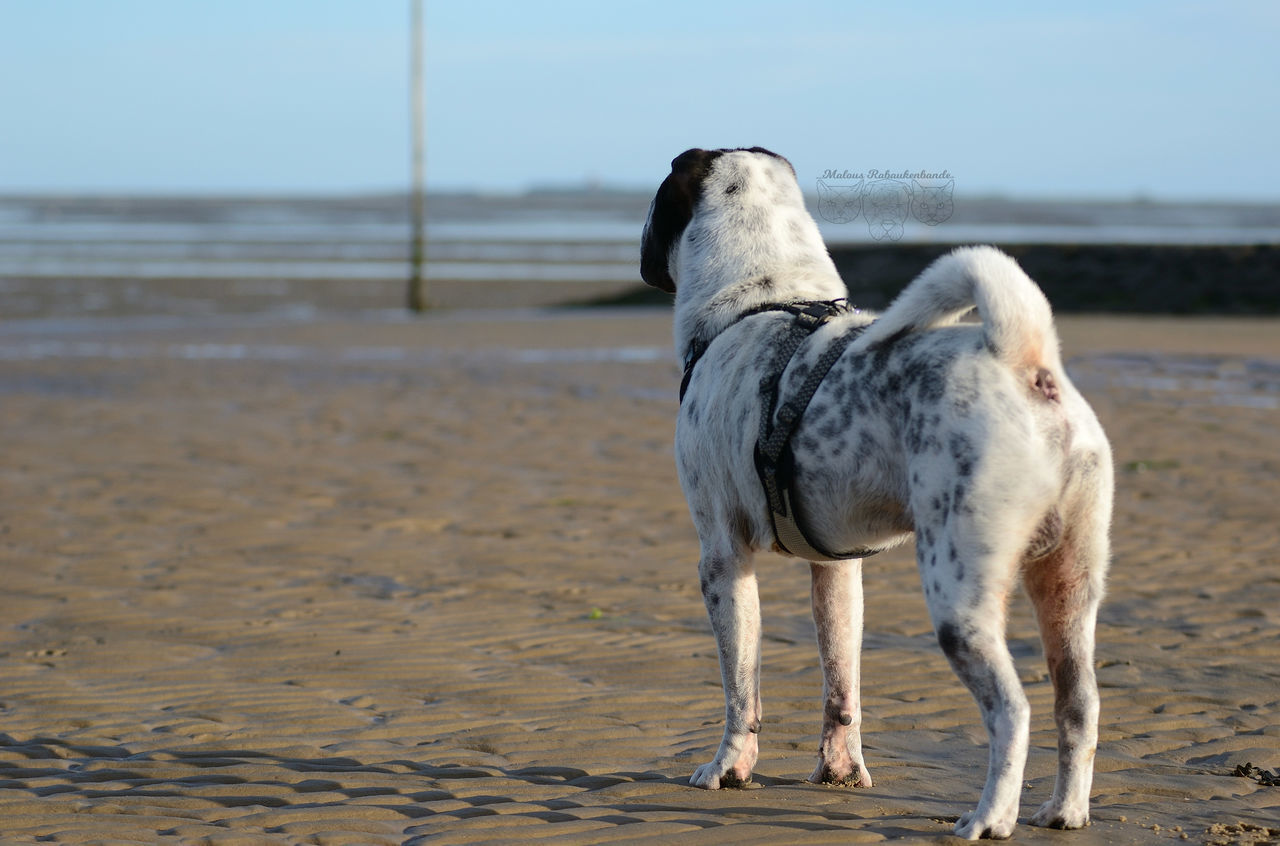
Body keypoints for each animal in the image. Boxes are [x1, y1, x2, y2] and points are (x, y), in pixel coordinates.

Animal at [640, 146, 1111, 839]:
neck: (764, 300)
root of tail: (1023, 361)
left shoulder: (722, 561)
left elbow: (741, 692)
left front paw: (727, 770)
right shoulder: (836, 572)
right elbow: (842, 690)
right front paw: (840, 772)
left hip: (959, 599)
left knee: (1013, 712)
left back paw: (988, 819)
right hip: (1068, 589)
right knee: (1078, 706)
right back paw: (1063, 812)